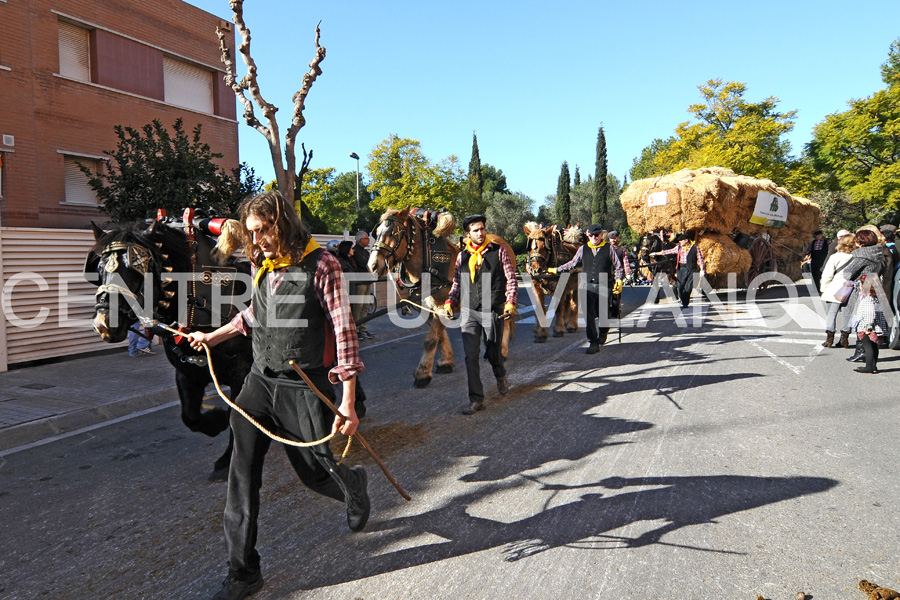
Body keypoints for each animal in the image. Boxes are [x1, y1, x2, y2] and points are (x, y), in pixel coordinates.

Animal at [85, 218, 251, 480]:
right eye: (100, 268)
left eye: (136, 270)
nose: (103, 323)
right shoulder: (186, 372)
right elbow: (190, 417)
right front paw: (216, 421)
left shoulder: (240, 374)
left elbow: (237, 416)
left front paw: (228, 459)